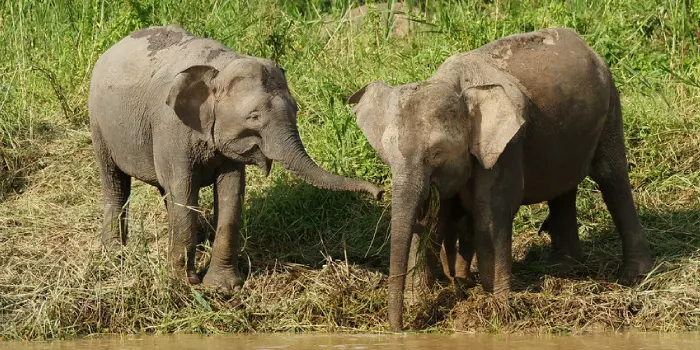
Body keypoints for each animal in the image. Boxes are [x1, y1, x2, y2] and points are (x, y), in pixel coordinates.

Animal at [89, 24, 382, 292]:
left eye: (295, 109)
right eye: (253, 116)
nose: (379, 193)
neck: (219, 67)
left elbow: (230, 192)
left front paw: (224, 287)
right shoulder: (170, 127)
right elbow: (184, 189)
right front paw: (185, 284)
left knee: (164, 189)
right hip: (99, 124)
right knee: (116, 182)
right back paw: (116, 253)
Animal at [350, 28, 656, 330]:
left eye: (436, 152)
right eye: (387, 154)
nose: (401, 328)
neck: (455, 85)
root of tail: (584, 43)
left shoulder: (507, 146)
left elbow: (491, 212)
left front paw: (496, 310)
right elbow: (432, 218)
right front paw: (420, 300)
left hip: (611, 103)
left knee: (611, 178)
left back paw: (633, 277)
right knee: (564, 190)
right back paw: (563, 268)